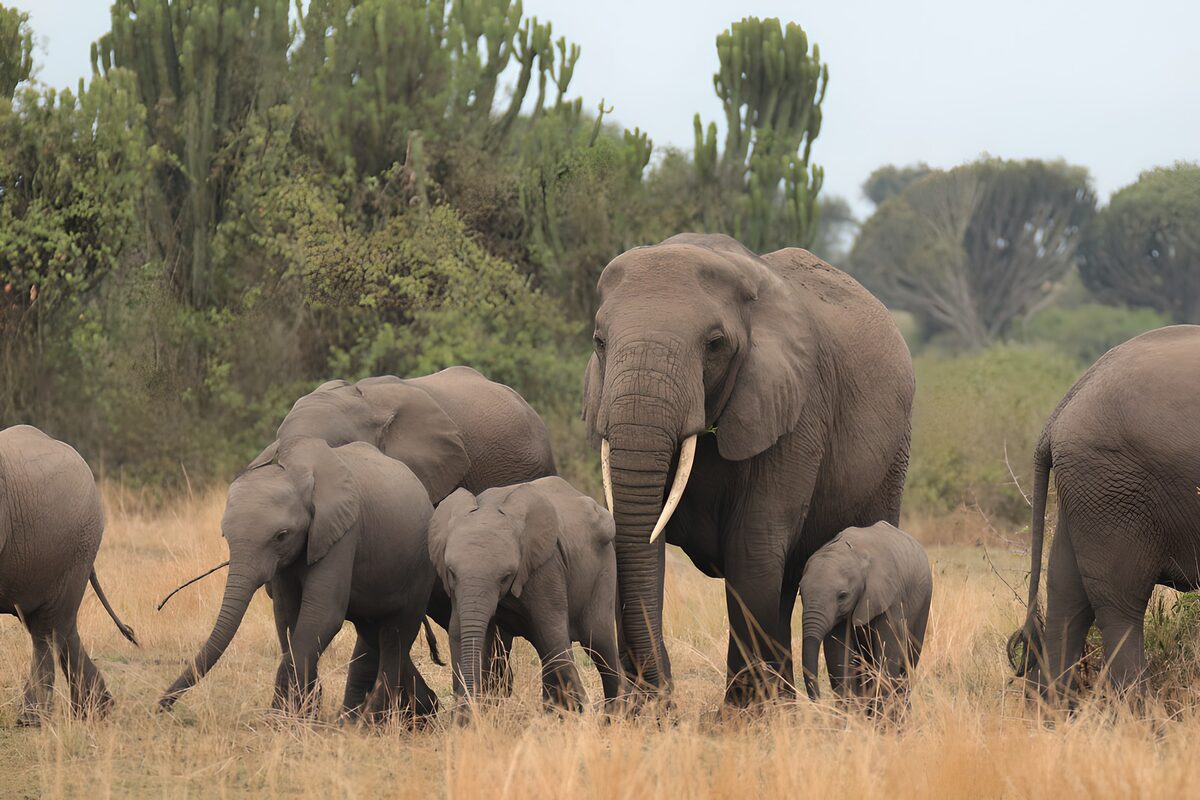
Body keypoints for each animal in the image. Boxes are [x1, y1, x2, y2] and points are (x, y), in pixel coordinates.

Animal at [159, 436, 437, 721]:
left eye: (281, 535)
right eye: (225, 535)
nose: (162, 706)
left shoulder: (342, 533)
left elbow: (322, 615)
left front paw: (278, 719)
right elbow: (286, 615)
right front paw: (299, 714)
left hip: (420, 570)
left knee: (395, 636)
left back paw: (370, 722)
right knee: (372, 633)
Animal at [429, 478, 626, 714]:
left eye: (506, 576)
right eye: (451, 572)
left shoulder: (545, 568)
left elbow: (553, 636)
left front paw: (579, 716)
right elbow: (458, 633)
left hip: (602, 570)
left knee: (597, 640)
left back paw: (615, 716)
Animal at [583, 233, 914, 706]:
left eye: (714, 344)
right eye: (599, 341)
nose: (667, 699)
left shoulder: (796, 405)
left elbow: (751, 546)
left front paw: (741, 718)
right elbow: (640, 539)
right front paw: (646, 713)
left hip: (893, 454)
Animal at [799, 522, 931, 712]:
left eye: (842, 596)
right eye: (801, 593)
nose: (819, 704)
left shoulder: (890, 597)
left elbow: (887, 653)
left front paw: (884, 718)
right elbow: (838, 654)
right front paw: (850, 716)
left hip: (924, 602)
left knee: (908, 661)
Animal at [1009, 325, 1200, 702]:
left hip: (1089, 493)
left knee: (1067, 593)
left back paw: (1050, 712)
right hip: (1115, 487)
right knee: (1120, 600)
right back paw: (1137, 714)